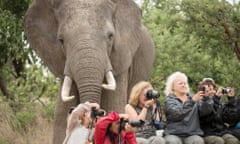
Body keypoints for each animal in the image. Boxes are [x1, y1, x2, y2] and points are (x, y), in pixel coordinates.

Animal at [24, 0, 155, 143]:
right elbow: (61, 115)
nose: (92, 110)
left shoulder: (121, 57)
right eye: (61, 40)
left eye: (110, 36)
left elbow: (113, 105)